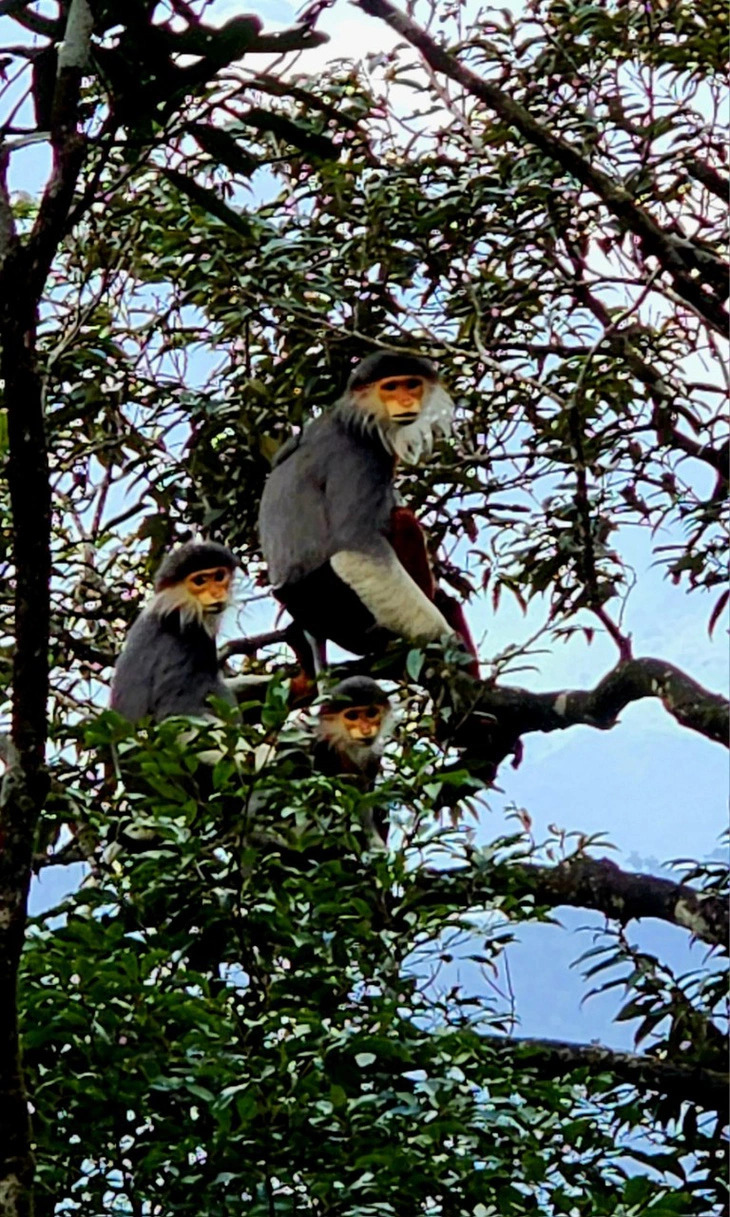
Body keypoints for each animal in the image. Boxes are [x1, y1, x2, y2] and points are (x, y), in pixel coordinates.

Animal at [257, 348, 479, 681]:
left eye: (411, 385)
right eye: (391, 387)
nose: (405, 402)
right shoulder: (361, 454)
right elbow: (357, 551)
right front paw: (446, 642)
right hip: (343, 613)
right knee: (403, 520)